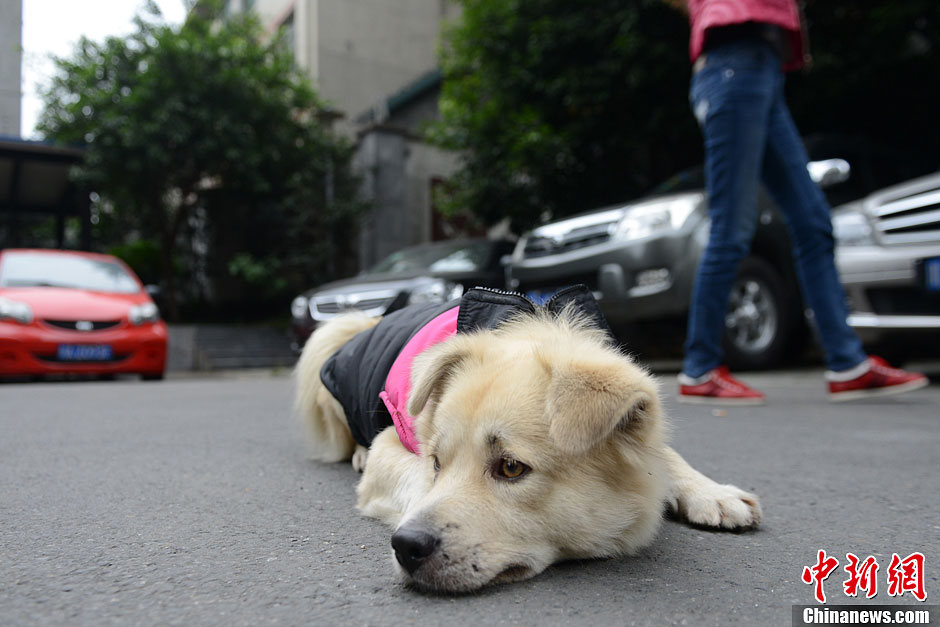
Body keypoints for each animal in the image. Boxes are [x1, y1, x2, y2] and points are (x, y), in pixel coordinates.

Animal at [294, 288, 764, 592]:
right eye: (436, 464)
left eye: (511, 468)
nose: (405, 547)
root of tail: (372, 319)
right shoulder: (391, 447)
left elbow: (665, 453)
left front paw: (712, 492)